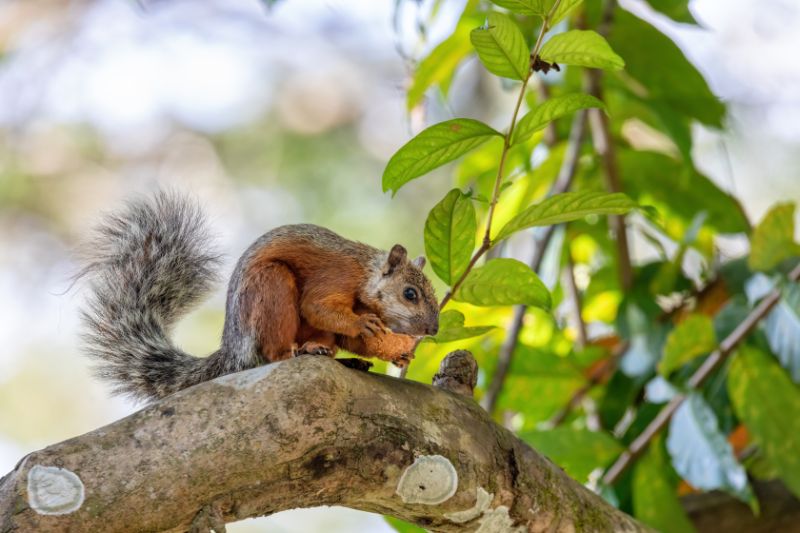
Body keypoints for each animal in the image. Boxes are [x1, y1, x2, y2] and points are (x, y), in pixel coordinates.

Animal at [79, 191, 440, 400]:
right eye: (409, 293)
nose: (433, 329)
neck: (365, 275)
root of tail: (233, 352)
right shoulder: (334, 277)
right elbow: (317, 307)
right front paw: (362, 324)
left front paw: (399, 351)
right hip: (271, 287)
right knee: (273, 352)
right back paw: (297, 352)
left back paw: (340, 358)